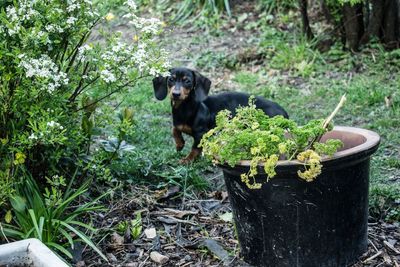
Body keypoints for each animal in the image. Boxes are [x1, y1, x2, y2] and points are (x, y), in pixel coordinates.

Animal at [152, 67, 288, 163]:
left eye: (187, 81)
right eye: (171, 79)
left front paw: (187, 160)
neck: (185, 108)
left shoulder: (201, 134)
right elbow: (174, 129)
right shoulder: (178, 124)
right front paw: (179, 144)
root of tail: (284, 112)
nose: (175, 94)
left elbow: (195, 148)